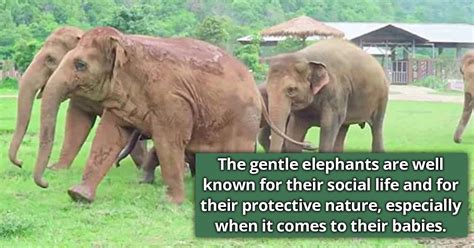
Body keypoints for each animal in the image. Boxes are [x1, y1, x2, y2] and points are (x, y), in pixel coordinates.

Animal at [35, 27, 306, 204]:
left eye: (80, 65)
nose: (46, 182)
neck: (128, 44)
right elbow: (108, 137)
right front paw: (79, 195)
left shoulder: (173, 100)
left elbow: (169, 142)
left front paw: (171, 203)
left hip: (243, 118)